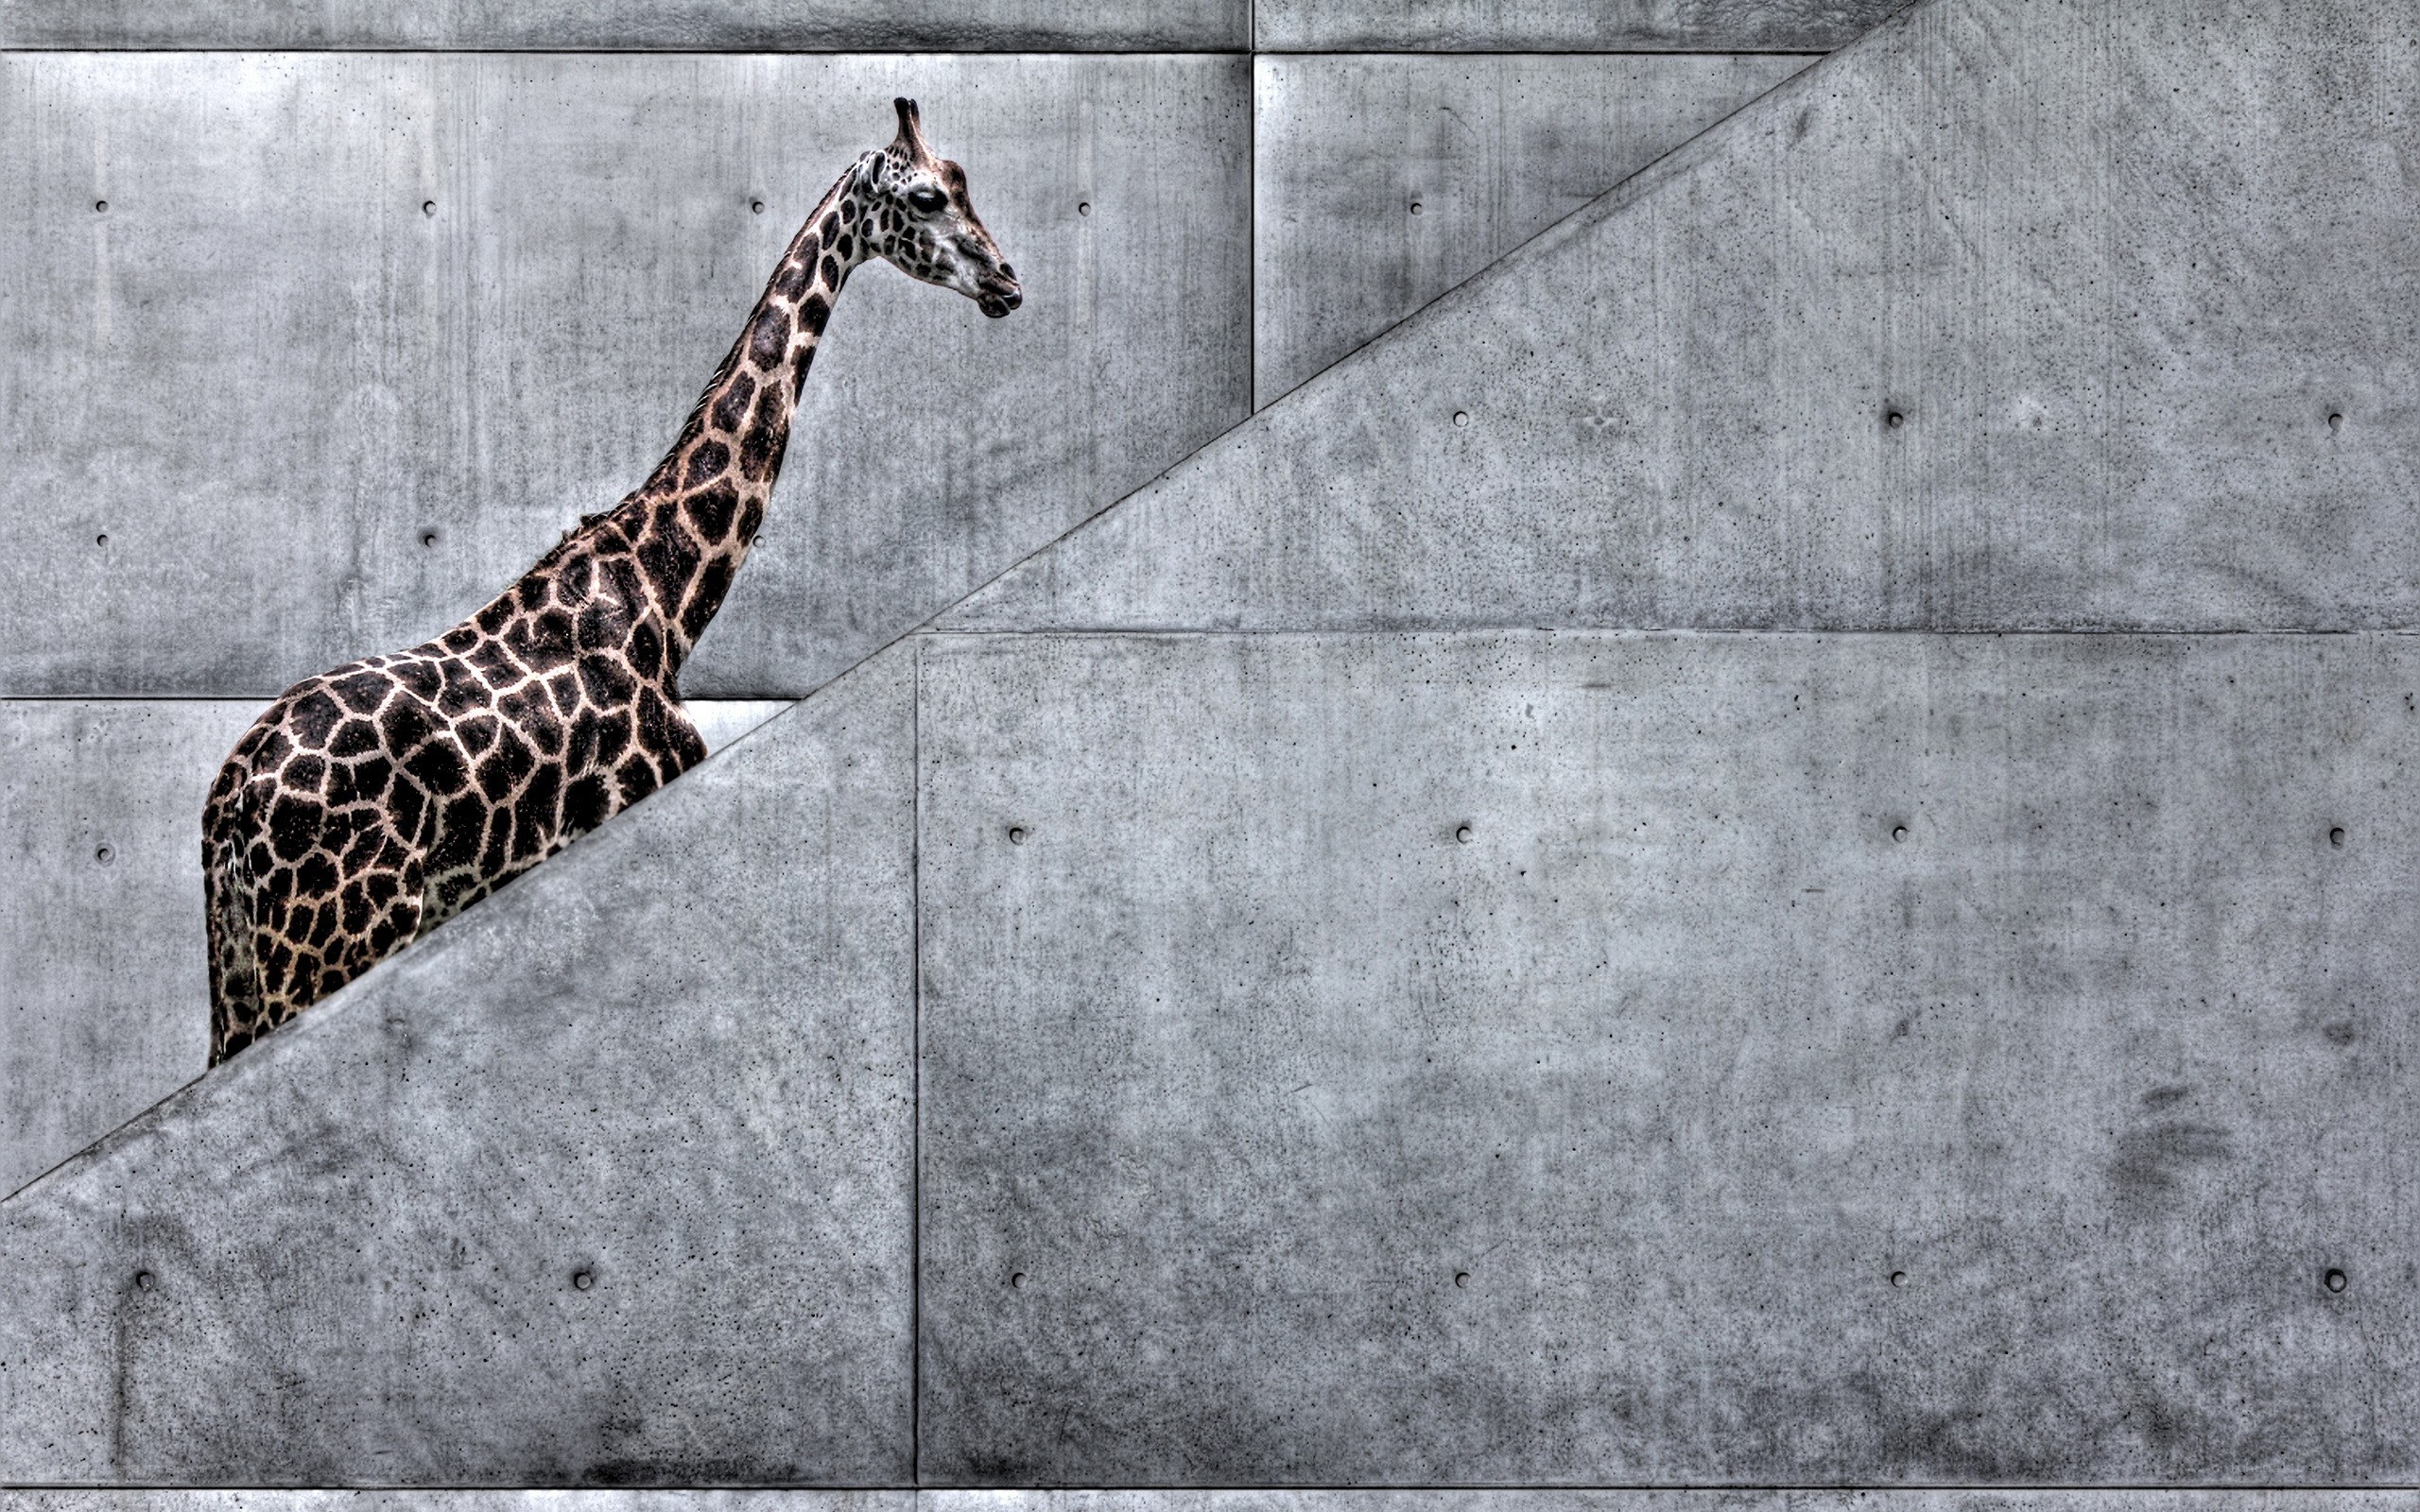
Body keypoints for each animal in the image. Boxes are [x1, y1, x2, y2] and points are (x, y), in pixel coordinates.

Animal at [202, 97, 1019, 1065]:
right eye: (928, 196)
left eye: (964, 183)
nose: (1008, 283)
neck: (668, 598)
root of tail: (229, 806)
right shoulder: (640, 797)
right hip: (333, 944)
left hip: (248, 979)